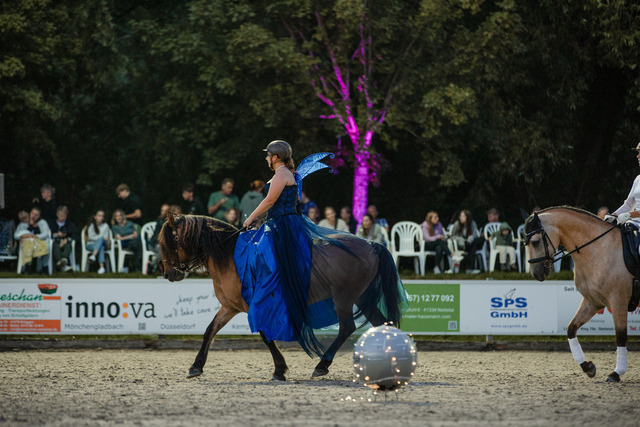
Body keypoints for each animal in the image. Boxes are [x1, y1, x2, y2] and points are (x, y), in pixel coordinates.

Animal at [158, 212, 406, 380]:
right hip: (361, 298)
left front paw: (279, 369)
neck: (229, 256)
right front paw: (196, 366)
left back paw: (323, 365)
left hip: (344, 297)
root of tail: (371, 245)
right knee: (382, 323)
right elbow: (210, 330)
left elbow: (265, 335)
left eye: (166, 242)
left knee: (347, 327)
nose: (168, 273)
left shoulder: (255, 305)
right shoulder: (230, 307)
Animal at [524, 206, 633, 382]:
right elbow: (571, 328)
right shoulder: (592, 301)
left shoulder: (618, 302)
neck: (598, 249)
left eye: (535, 242)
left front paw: (616, 373)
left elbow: (621, 336)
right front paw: (587, 367)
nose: (536, 274)